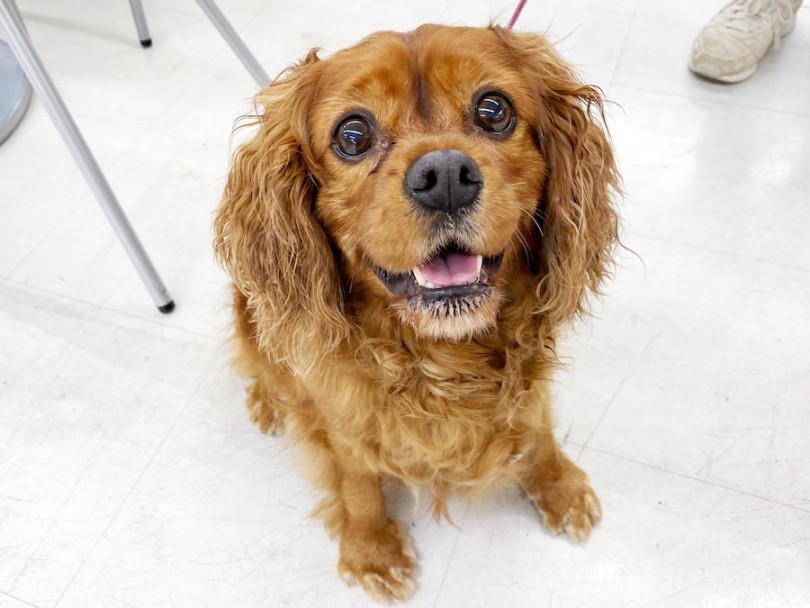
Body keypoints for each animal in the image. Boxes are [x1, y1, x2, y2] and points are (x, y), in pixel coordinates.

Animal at [213, 25, 620, 604]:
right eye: (352, 135)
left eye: (494, 110)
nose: (445, 174)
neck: (443, 358)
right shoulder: (341, 415)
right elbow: (357, 481)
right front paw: (373, 550)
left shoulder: (530, 387)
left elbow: (538, 430)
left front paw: (559, 487)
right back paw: (268, 403)